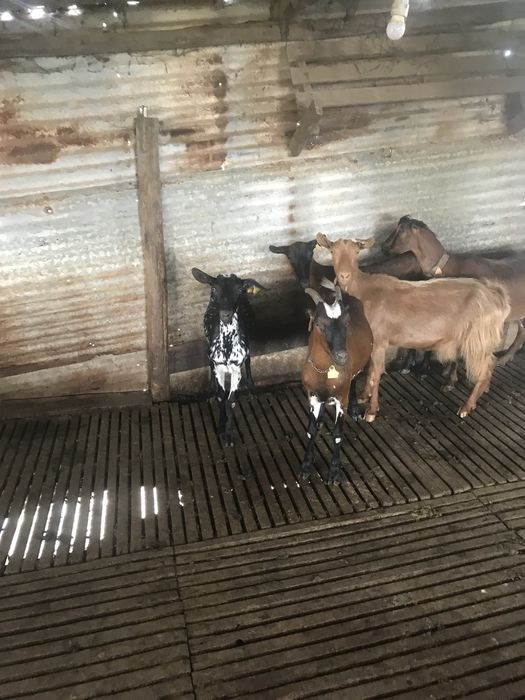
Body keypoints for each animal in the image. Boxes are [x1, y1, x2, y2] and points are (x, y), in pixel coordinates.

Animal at [191, 268, 266, 445]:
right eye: (214, 289)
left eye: (239, 290)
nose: (226, 314)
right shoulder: (218, 366)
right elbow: (221, 396)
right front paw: (220, 427)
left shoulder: (236, 369)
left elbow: (231, 400)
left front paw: (229, 435)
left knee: (249, 361)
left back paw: (251, 389)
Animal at [300, 285, 373, 485]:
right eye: (319, 324)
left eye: (346, 323)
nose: (342, 356)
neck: (325, 373)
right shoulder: (313, 396)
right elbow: (310, 431)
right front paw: (306, 467)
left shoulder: (341, 398)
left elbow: (338, 435)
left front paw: (334, 472)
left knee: (354, 380)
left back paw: (355, 409)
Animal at [317, 233, 510, 421]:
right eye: (332, 251)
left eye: (356, 252)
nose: (344, 275)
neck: (364, 291)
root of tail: (496, 295)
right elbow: (369, 370)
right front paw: (364, 396)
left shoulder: (380, 342)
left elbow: (375, 374)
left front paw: (371, 411)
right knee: (490, 364)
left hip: (478, 339)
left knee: (485, 368)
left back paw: (466, 407)